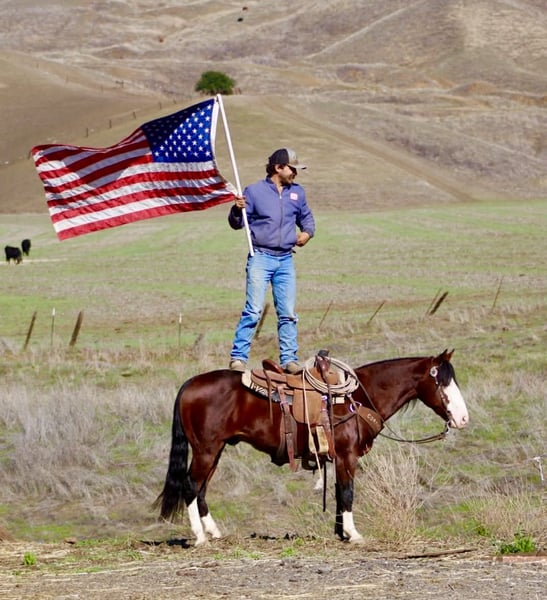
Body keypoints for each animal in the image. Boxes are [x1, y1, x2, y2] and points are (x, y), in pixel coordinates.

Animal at [154, 349, 468, 545]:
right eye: (442, 382)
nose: (463, 418)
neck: (358, 397)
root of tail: (190, 384)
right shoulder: (347, 455)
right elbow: (347, 492)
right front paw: (353, 534)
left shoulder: (339, 458)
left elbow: (340, 494)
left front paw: (341, 533)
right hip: (206, 450)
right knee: (191, 486)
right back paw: (200, 537)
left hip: (215, 450)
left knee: (201, 488)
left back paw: (215, 532)